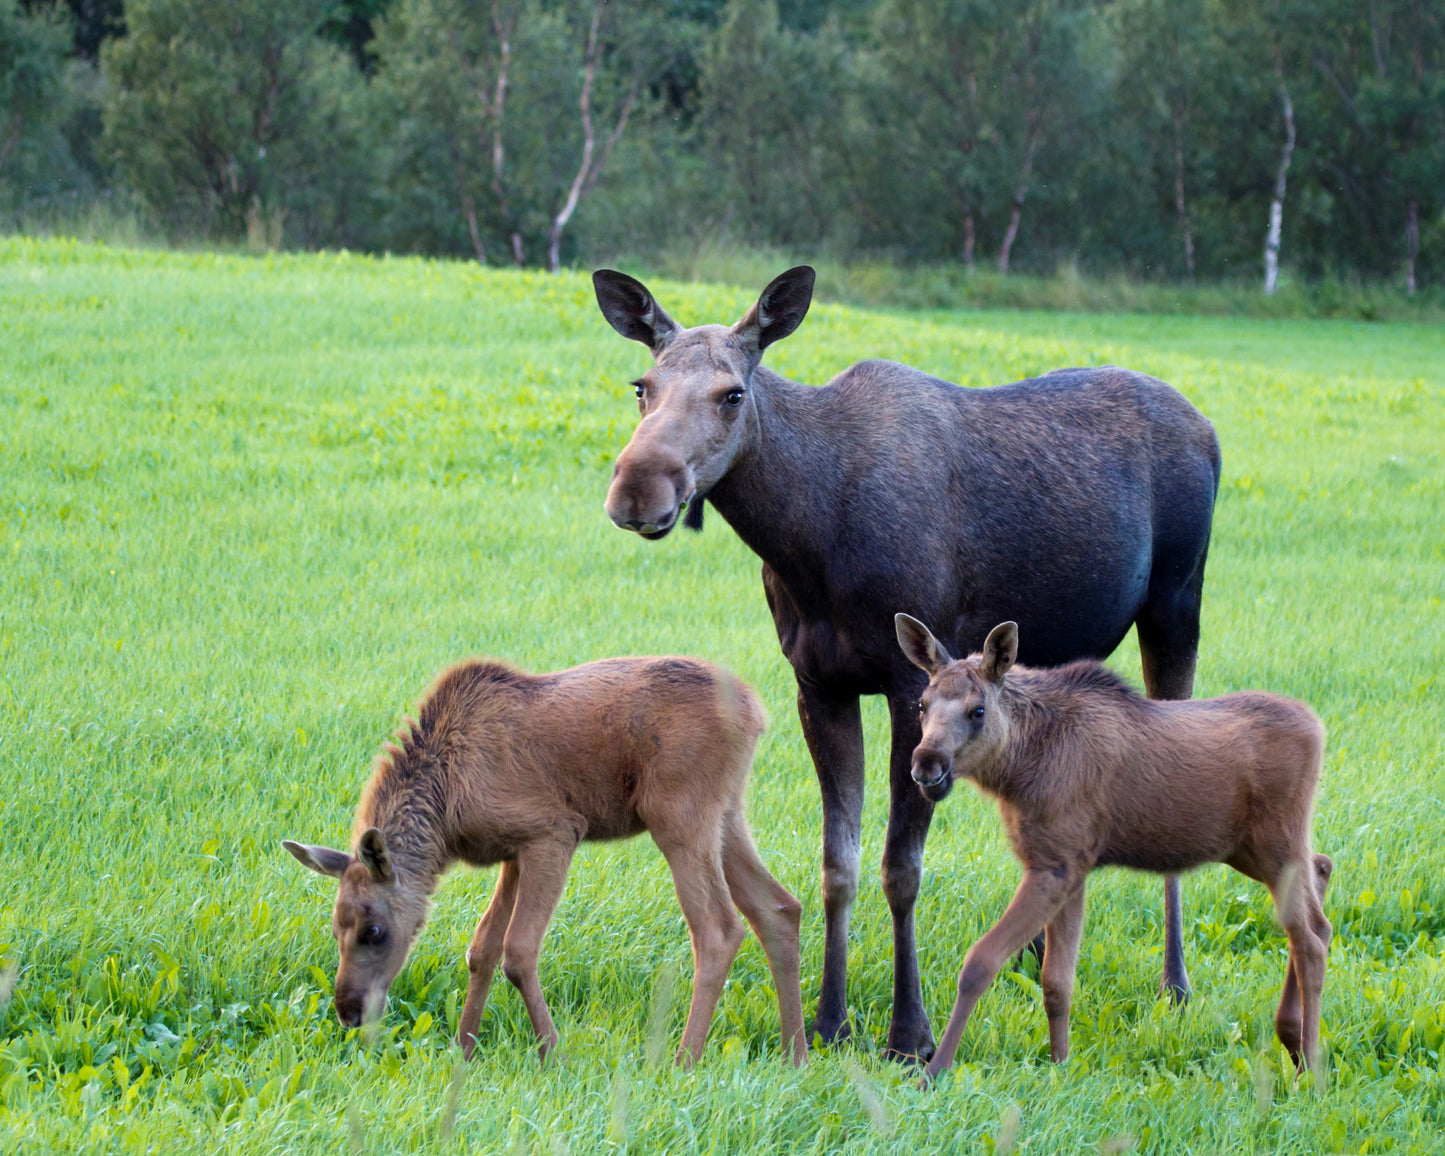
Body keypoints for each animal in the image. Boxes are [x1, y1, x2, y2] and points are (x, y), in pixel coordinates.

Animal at [275, 656, 809, 1069]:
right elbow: (483, 948)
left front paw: (554, 1055)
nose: (348, 1012)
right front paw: (463, 1050)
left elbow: (518, 951)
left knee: (718, 929)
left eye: (374, 930)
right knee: (780, 908)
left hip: (678, 813)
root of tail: (756, 709)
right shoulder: (513, 852)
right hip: (727, 812)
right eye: (335, 928)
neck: (445, 817)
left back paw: (682, 1062)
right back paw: (795, 1055)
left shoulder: (553, 831)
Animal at [586, 265, 1219, 1063]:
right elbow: (839, 863)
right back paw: (1034, 956)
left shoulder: (908, 678)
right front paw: (829, 1020)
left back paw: (1175, 983)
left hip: (1176, 601)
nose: (637, 488)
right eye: (641, 386)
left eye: (732, 393)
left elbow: (900, 867)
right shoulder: (817, 684)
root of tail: (1209, 430)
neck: (809, 540)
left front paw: (908, 1031)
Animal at [895, 618, 1335, 1080]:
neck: (1018, 766)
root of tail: (1318, 728)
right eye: (922, 705)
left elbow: (980, 962)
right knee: (1321, 879)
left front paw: (933, 1070)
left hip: (1277, 844)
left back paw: (1310, 1067)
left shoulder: (1056, 865)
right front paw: (1060, 1065)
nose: (926, 763)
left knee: (1310, 937)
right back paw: (1292, 1038)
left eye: (978, 710)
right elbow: (1056, 981)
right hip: (1251, 850)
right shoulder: (1068, 868)